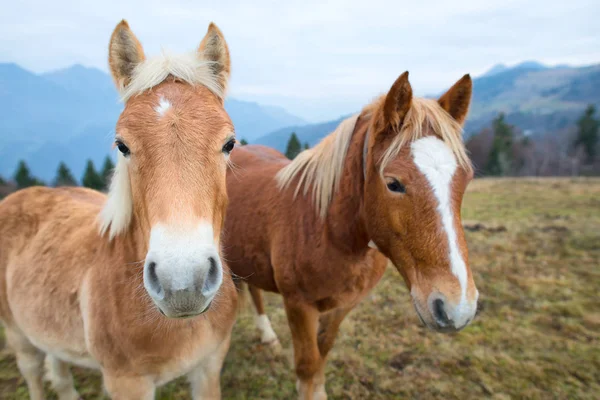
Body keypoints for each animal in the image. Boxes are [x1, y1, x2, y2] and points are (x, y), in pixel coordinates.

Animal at [0, 21, 239, 400]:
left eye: (229, 143)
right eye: (122, 145)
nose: (182, 283)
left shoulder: (209, 367)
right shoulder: (127, 382)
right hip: (19, 336)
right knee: (34, 374)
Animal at [224, 72, 478, 400]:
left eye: (465, 179)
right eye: (393, 183)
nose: (457, 309)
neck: (327, 229)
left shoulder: (342, 306)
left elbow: (322, 354)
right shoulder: (299, 306)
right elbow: (307, 364)